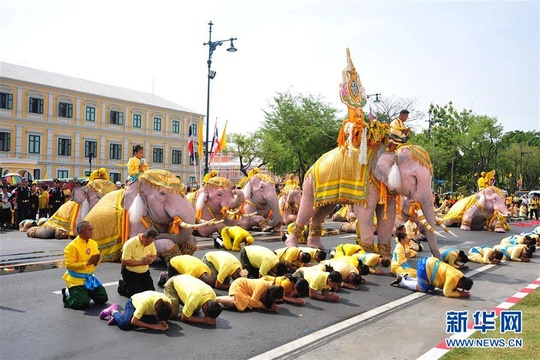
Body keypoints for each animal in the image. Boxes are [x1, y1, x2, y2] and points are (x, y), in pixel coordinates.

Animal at [284, 50, 440, 258]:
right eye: (414, 178)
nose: (438, 258)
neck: (387, 148)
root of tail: (314, 163)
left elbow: (387, 216)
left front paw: (384, 257)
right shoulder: (366, 185)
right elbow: (365, 214)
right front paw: (369, 256)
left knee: (322, 210)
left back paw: (316, 246)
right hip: (310, 183)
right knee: (308, 209)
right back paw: (293, 246)